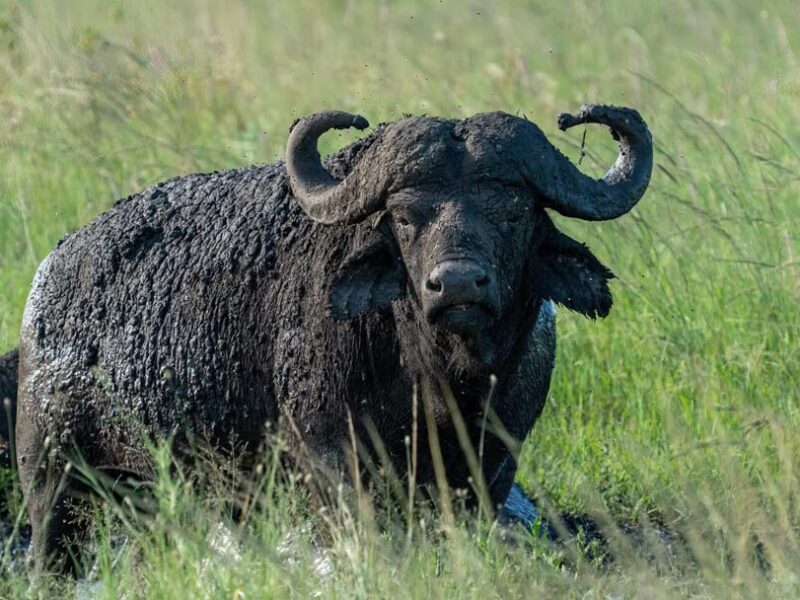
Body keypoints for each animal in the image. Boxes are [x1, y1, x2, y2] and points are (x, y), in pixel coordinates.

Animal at [13, 104, 652, 573]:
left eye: (514, 212)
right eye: (405, 216)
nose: (457, 284)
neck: (440, 382)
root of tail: (48, 278)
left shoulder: (494, 464)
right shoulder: (329, 461)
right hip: (50, 480)